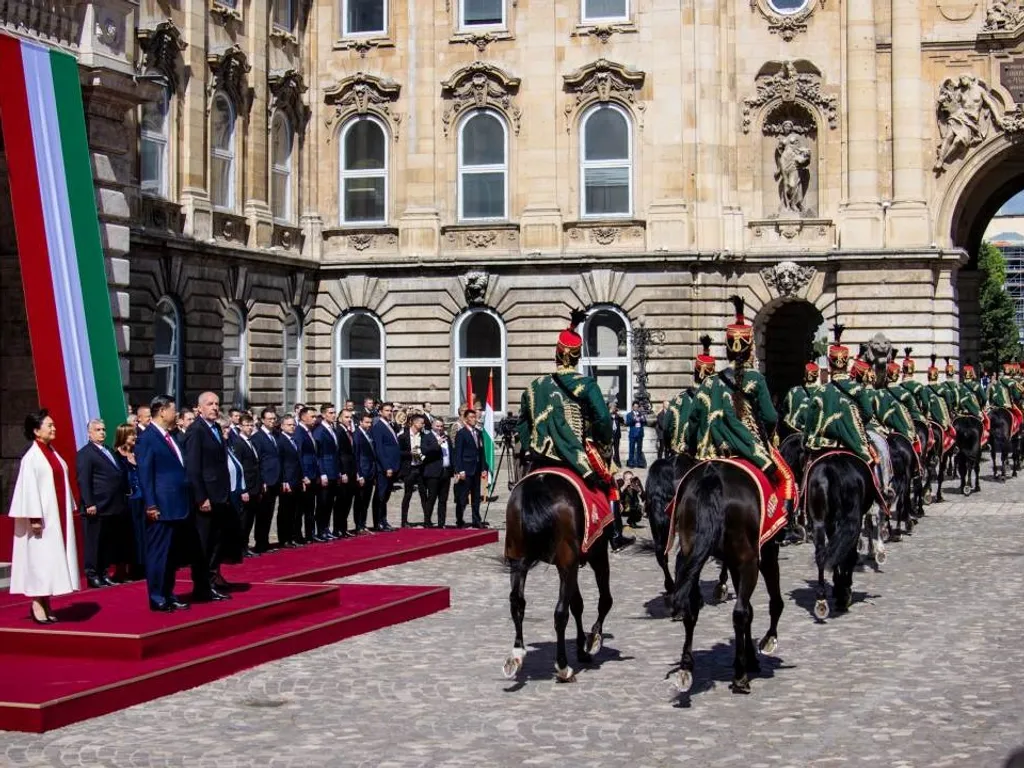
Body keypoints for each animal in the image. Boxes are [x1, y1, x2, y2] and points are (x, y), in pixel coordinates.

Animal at [501, 475, 606, 684]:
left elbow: (577, 604)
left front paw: (582, 648)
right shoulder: (597, 552)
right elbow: (604, 600)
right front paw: (593, 638)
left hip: (517, 559)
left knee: (517, 603)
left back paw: (517, 655)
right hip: (569, 563)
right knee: (560, 613)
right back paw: (563, 667)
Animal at [667, 462, 778, 696]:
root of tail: (712, 476)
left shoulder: (734, 563)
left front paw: (750, 657)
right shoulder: (764, 550)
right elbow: (770, 603)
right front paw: (767, 641)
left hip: (692, 554)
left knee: (691, 608)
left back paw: (686, 668)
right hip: (749, 562)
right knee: (740, 613)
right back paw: (740, 678)